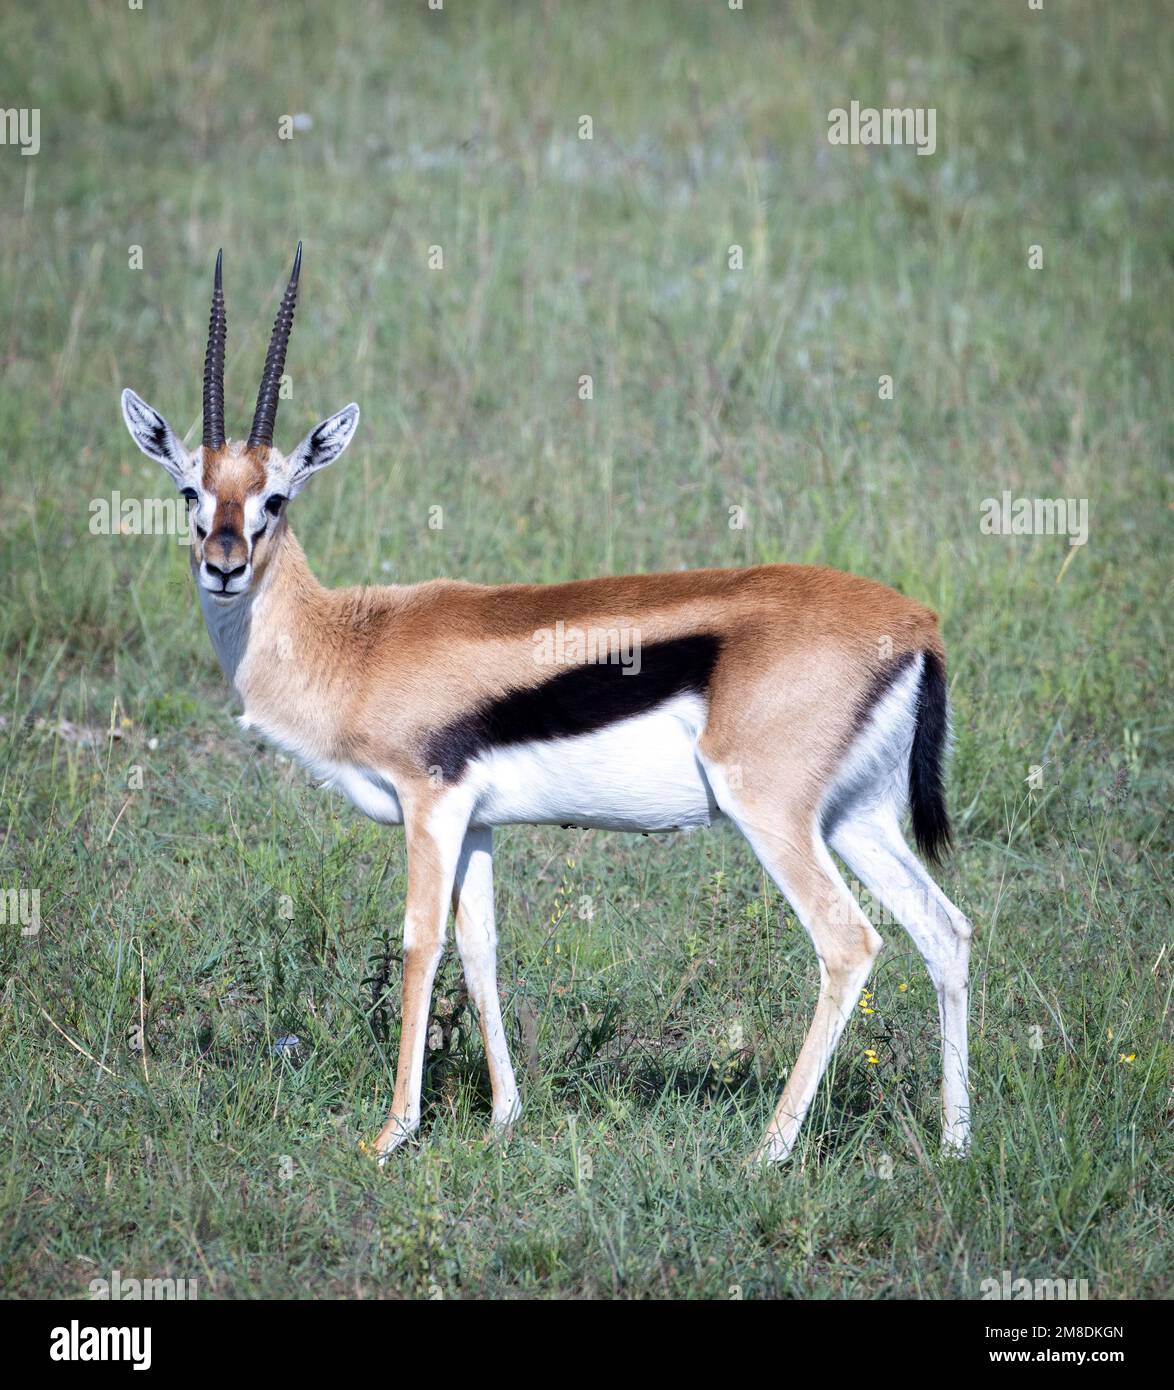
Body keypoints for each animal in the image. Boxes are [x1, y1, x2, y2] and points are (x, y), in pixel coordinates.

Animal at [120, 247, 972, 1164]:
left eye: (275, 498)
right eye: (189, 492)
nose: (225, 565)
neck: (357, 645)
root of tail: (915, 623)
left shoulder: (429, 806)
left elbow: (421, 943)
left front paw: (391, 1134)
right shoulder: (478, 824)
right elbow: (481, 949)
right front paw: (503, 1119)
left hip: (774, 814)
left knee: (849, 944)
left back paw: (767, 1152)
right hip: (856, 819)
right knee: (945, 931)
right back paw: (956, 1144)